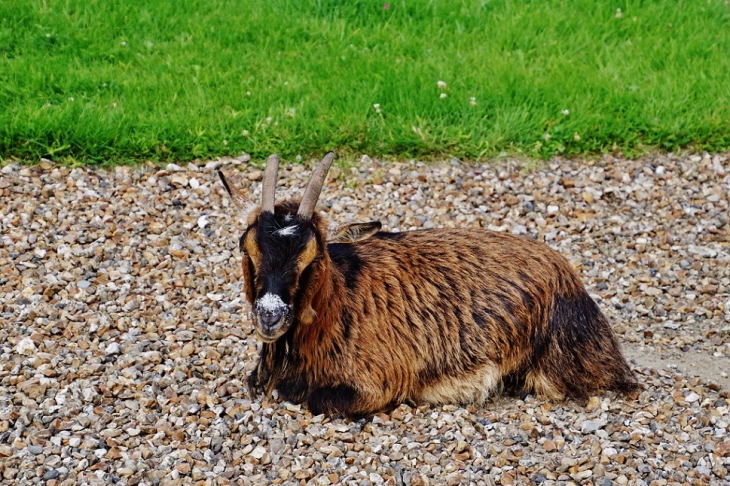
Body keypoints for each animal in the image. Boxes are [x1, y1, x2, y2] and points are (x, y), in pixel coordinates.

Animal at [218, 154, 636, 420]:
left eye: (313, 257)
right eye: (246, 248)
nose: (270, 317)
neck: (340, 300)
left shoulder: (376, 383)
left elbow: (313, 399)